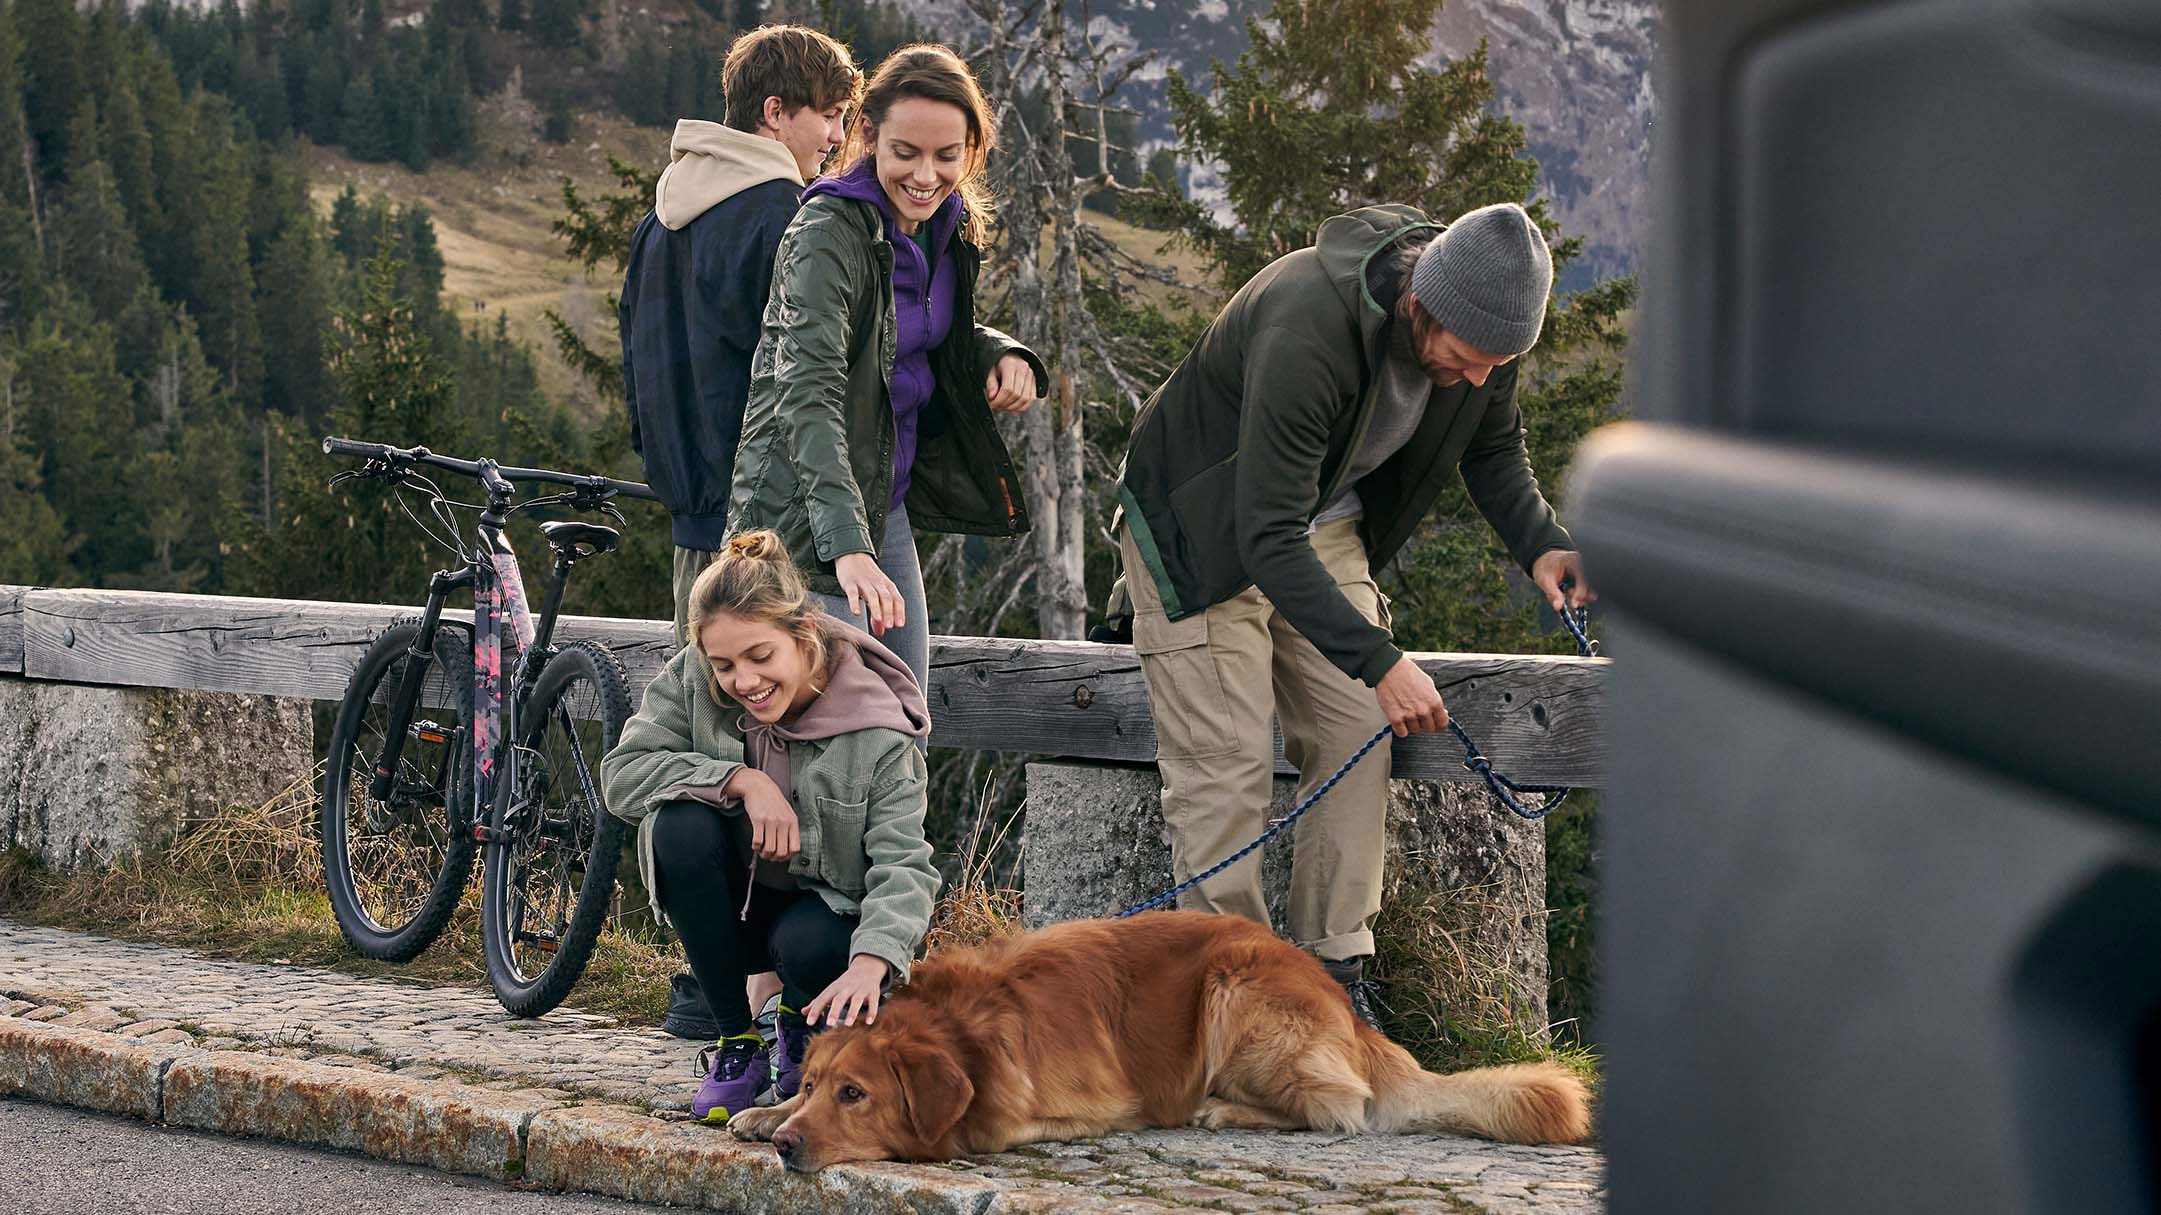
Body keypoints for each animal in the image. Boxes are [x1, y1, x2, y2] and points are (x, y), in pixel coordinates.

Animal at [726, 903, 1590, 1167]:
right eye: (815, 1084)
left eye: (856, 1094)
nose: (788, 1147)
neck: (960, 1026)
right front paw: (763, 1111)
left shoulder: (1086, 1102)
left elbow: (987, 1120)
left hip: (1234, 991)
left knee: (1339, 1107)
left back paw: (1224, 1107)